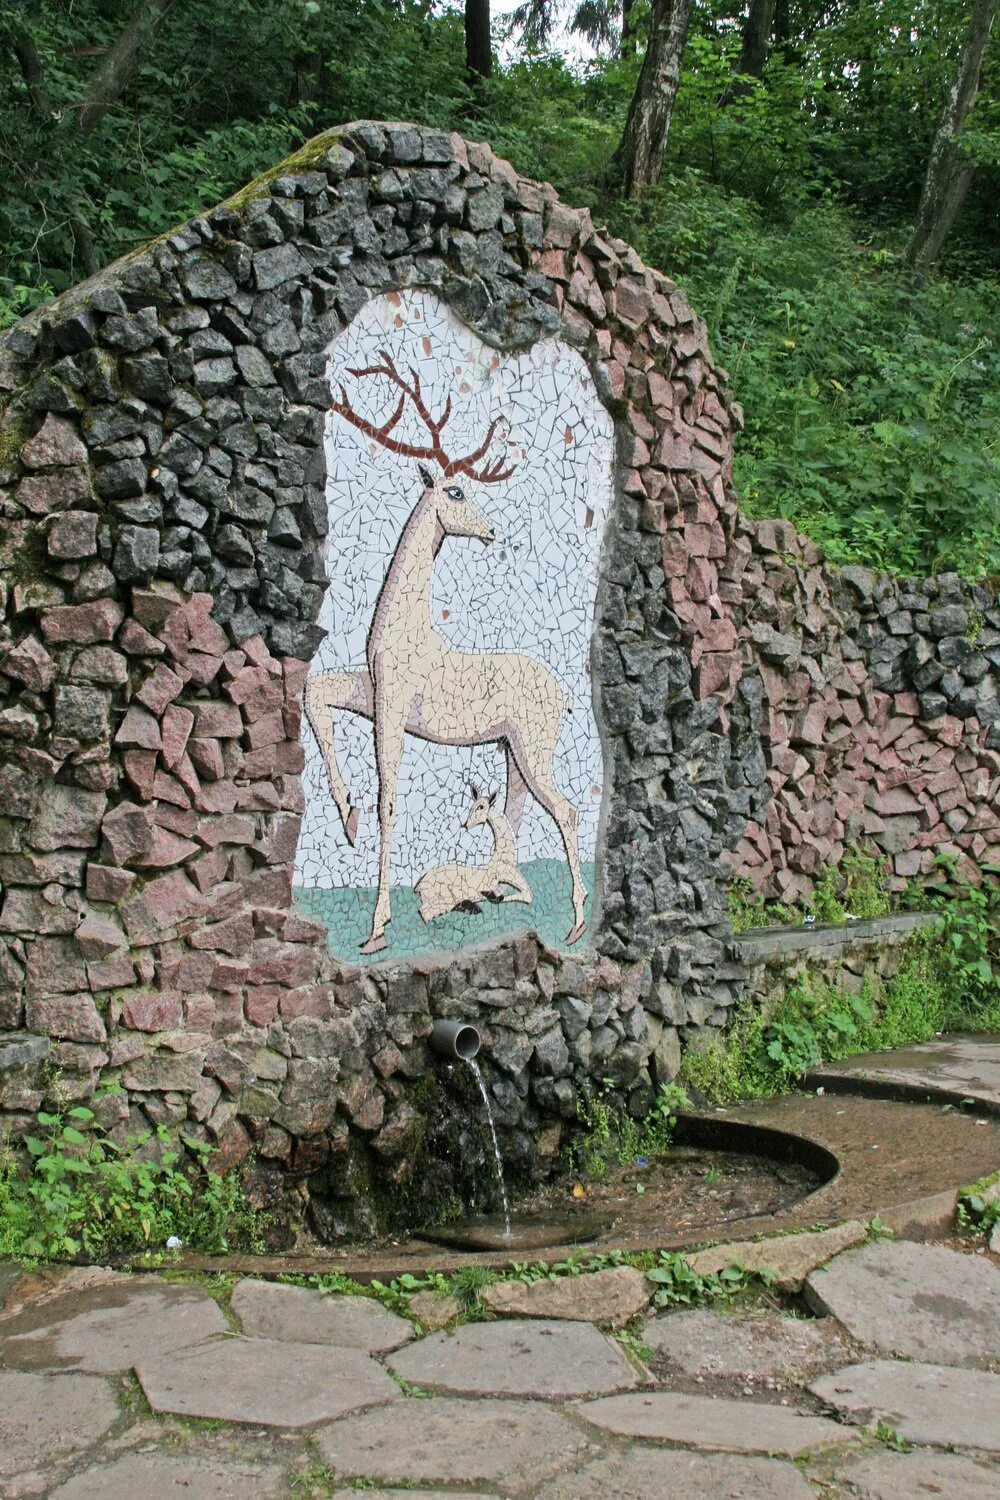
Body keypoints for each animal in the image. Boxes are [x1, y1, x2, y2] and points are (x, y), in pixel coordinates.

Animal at [305, 351, 587, 948]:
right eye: (455, 492)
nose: (492, 530)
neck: (398, 630)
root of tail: (567, 696)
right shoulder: (376, 694)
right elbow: (314, 690)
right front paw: (348, 819)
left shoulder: (393, 705)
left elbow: (390, 801)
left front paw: (377, 928)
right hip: (509, 748)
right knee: (520, 812)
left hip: (535, 745)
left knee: (568, 811)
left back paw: (574, 925)